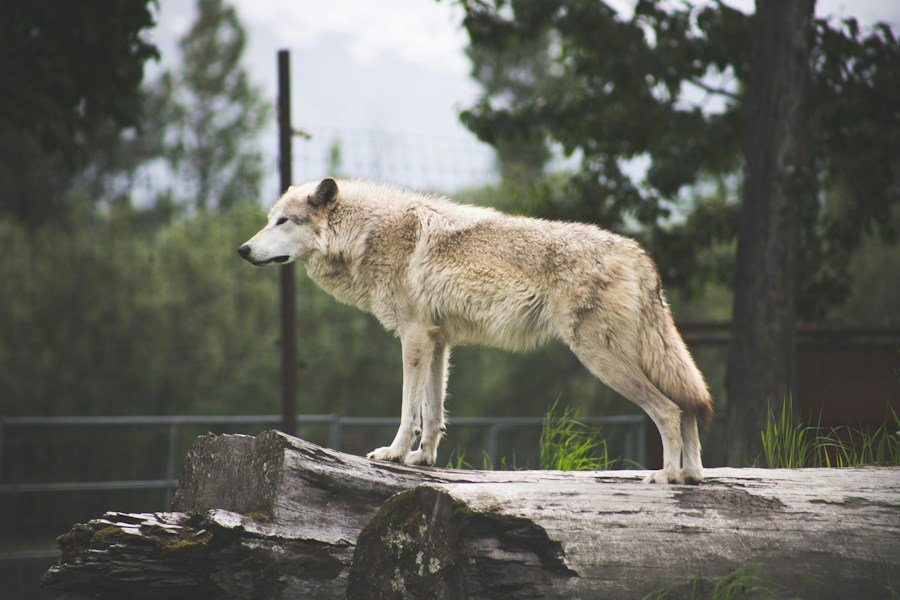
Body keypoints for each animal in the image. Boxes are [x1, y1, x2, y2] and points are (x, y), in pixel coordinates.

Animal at [239, 178, 712, 484]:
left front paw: (394, 453)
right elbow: (433, 414)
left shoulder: (413, 337)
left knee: (669, 409)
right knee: (688, 405)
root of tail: (641, 256)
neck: (367, 233)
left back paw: (666, 476)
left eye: (283, 222)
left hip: (600, 358)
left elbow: (408, 409)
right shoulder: (438, 341)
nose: (242, 250)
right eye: (269, 219)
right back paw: (691, 476)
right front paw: (423, 459)